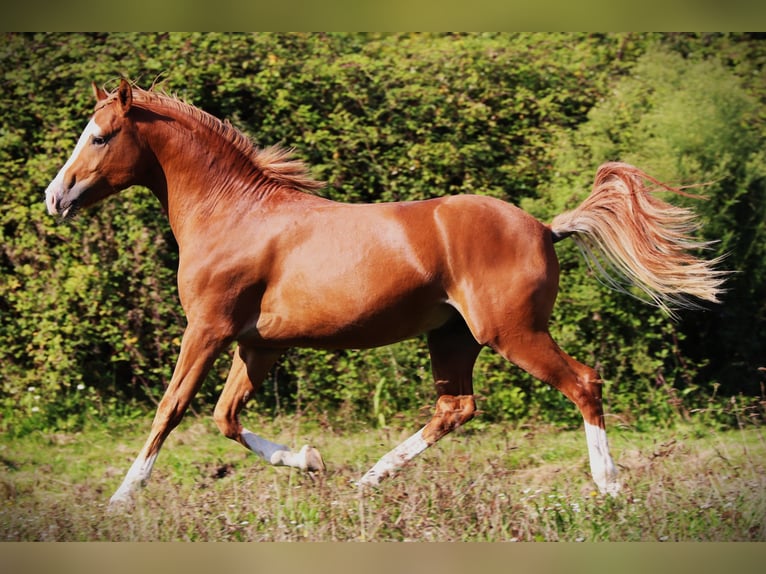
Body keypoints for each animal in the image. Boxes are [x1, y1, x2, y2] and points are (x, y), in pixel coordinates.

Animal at [42, 79, 728, 510]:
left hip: (512, 333)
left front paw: (119, 500)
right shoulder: (259, 347)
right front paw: (311, 461)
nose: (55, 198)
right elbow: (225, 417)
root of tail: (543, 226)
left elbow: (171, 409)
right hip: (452, 338)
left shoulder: (207, 329)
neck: (233, 215)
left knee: (583, 383)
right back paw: (366, 482)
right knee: (455, 408)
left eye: (101, 136)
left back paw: (608, 488)